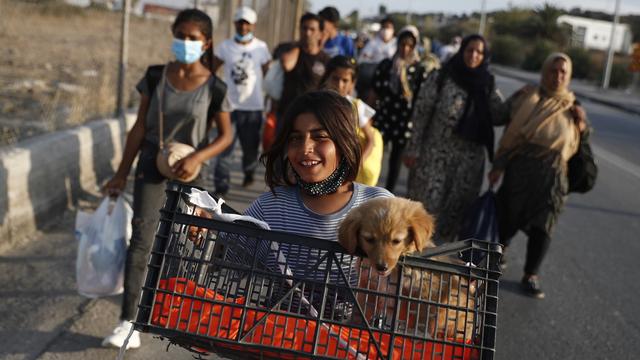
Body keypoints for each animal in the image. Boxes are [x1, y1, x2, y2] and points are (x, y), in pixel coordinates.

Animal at [340, 198, 476, 342]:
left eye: (396, 241)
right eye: (369, 239)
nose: (382, 267)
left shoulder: (426, 294)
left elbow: (422, 318)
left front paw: (418, 334)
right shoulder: (369, 286)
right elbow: (361, 308)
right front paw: (352, 324)